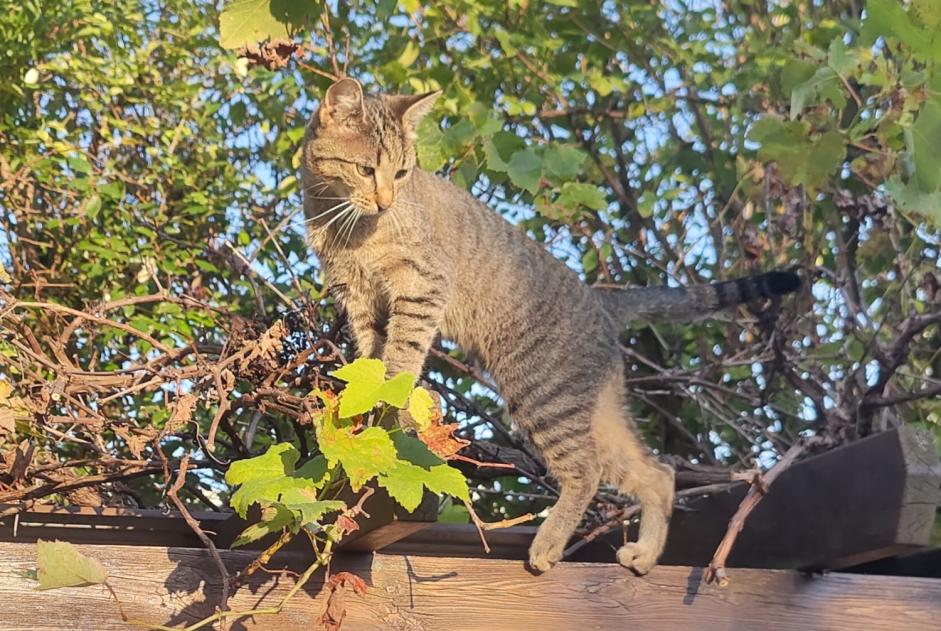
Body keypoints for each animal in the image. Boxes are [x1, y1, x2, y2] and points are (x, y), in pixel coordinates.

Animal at [302, 76, 800, 576]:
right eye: (366, 170)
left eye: (402, 173)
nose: (386, 201)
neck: (343, 223)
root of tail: (600, 300)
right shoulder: (358, 297)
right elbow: (371, 353)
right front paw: (370, 401)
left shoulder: (423, 285)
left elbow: (401, 355)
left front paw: (393, 398)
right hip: (597, 411)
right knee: (658, 472)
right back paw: (644, 554)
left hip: (541, 394)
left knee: (586, 469)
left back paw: (550, 543)